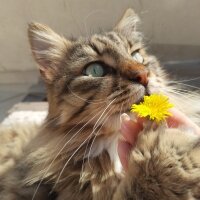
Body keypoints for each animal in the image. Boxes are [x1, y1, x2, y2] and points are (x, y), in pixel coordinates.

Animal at [0, 8, 200, 200]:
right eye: (95, 70)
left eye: (137, 56)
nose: (143, 75)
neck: (114, 142)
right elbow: (140, 189)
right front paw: (164, 149)